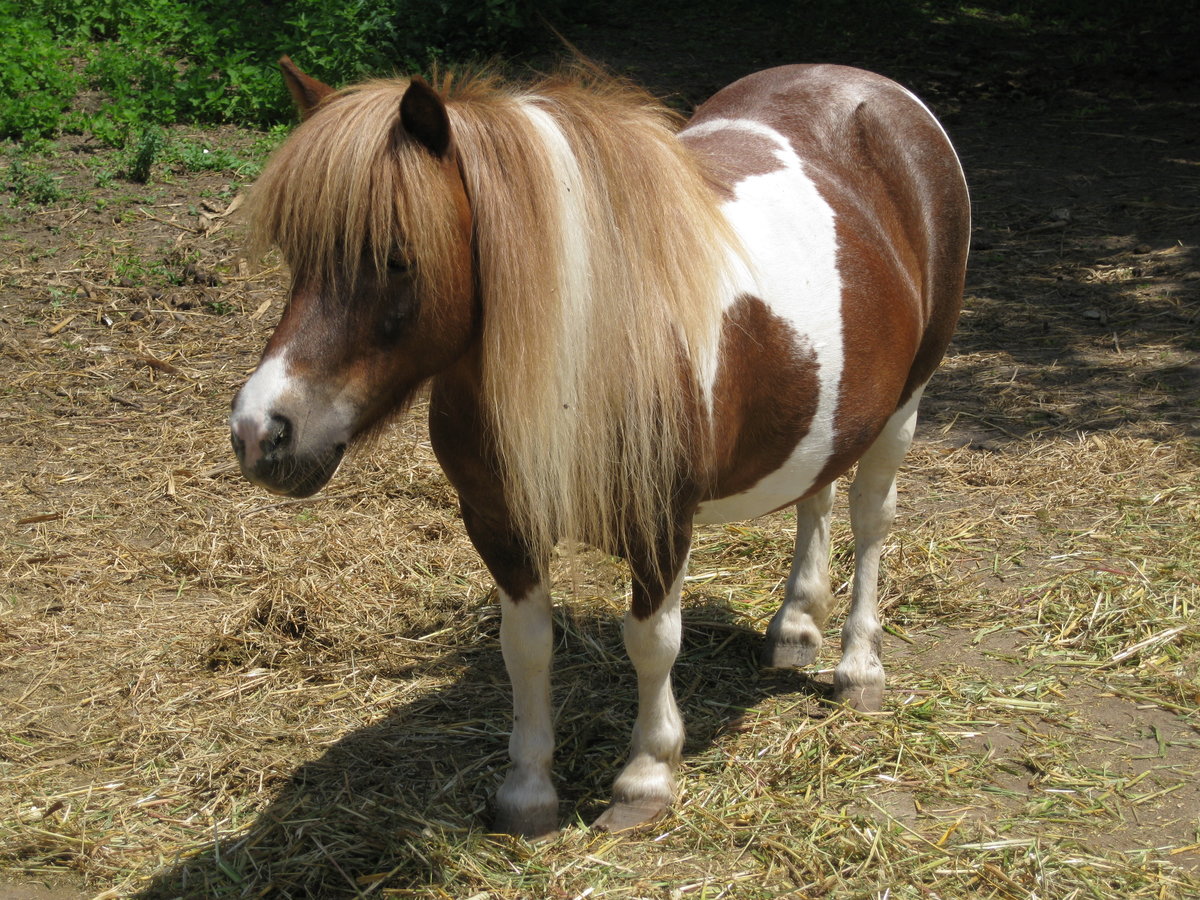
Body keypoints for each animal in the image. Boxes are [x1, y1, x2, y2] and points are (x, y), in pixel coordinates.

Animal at [229, 56, 970, 839]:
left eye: (398, 258)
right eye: (295, 254)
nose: (261, 430)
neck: (584, 346)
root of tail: (868, 87)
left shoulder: (661, 523)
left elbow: (651, 642)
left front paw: (646, 778)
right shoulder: (499, 523)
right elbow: (525, 647)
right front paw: (527, 792)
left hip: (905, 405)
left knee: (869, 518)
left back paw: (859, 668)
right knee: (816, 492)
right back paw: (797, 626)